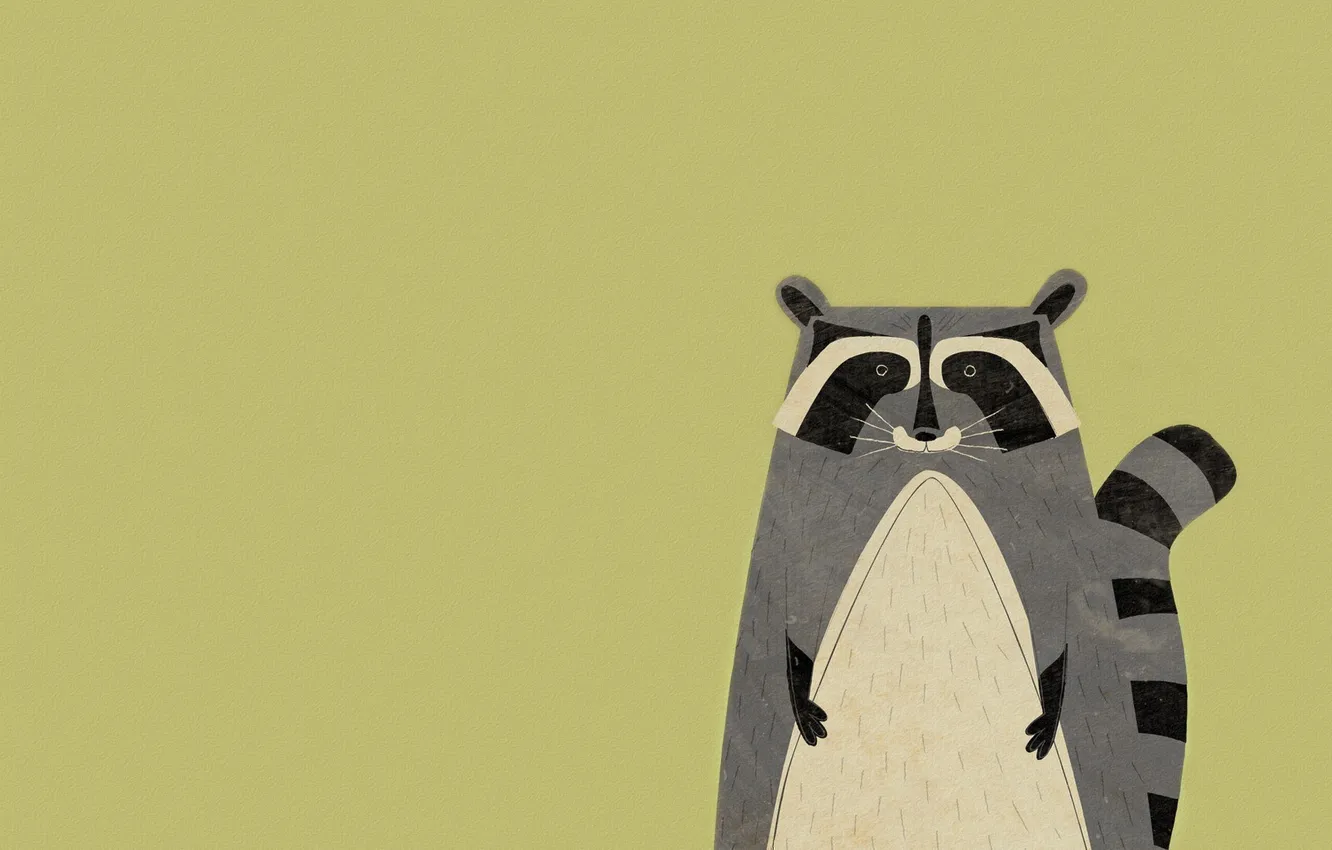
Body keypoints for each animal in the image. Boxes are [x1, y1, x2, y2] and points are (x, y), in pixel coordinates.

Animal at [715, 271, 1236, 850]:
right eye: (881, 369)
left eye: (968, 370)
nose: (925, 433)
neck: (929, 466)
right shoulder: (807, 505)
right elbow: (792, 599)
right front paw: (795, 682)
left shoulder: (1047, 511)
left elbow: (1063, 606)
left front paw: (1055, 689)